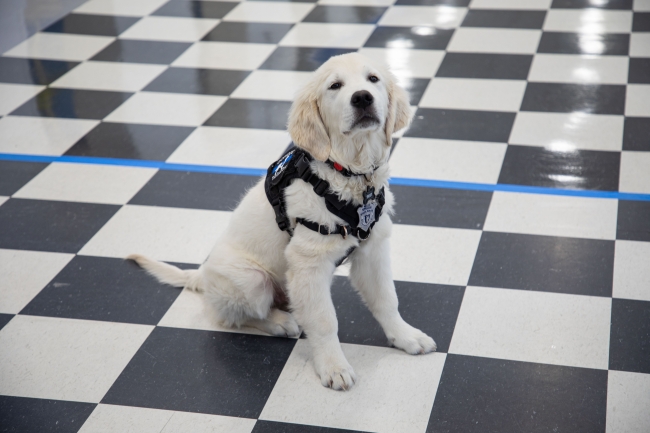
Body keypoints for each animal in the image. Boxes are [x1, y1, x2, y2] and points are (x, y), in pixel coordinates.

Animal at [127, 52, 436, 390]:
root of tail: (203, 276)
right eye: (335, 86)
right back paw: (280, 323)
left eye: (373, 79)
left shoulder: (372, 250)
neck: (348, 174)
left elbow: (386, 299)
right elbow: (325, 321)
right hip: (252, 280)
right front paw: (334, 366)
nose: (363, 98)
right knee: (228, 318)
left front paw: (405, 337)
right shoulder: (308, 263)